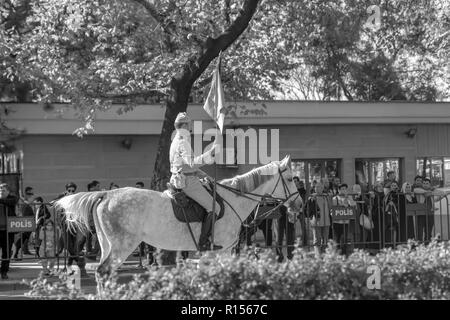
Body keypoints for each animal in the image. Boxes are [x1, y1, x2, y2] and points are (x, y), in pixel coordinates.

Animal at [54, 156, 298, 278]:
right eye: (292, 178)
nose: (299, 204)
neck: (233, 199)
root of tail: (106, 194)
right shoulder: (224, 250)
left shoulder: (211, 253)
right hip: (124, 245)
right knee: (104, 271)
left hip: (107, 244)